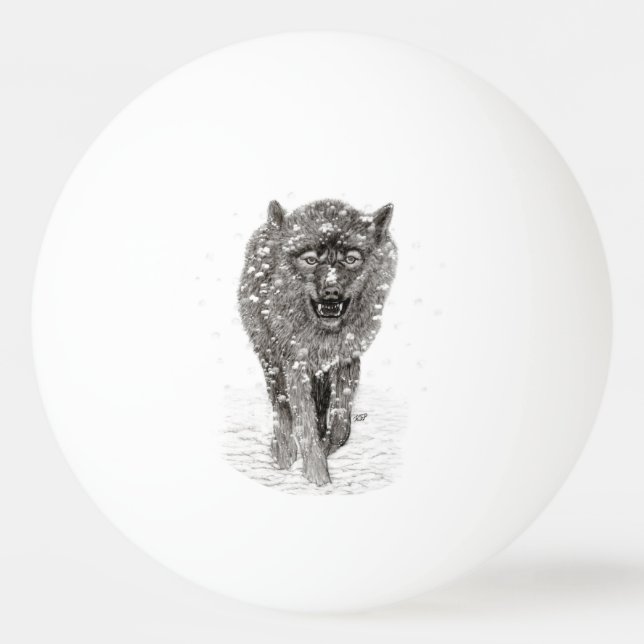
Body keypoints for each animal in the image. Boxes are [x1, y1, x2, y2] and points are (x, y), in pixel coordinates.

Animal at [238, 199, 397, 485]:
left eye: (350, 258)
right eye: (310, 260)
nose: (331, 292)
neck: (323, 336)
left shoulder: (347, 359)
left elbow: (341, 424)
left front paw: (324, 449)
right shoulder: (295, 364)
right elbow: (303, 422)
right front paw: (317, 476)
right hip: (271, 360)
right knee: (280, 406)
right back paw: (283, 452)